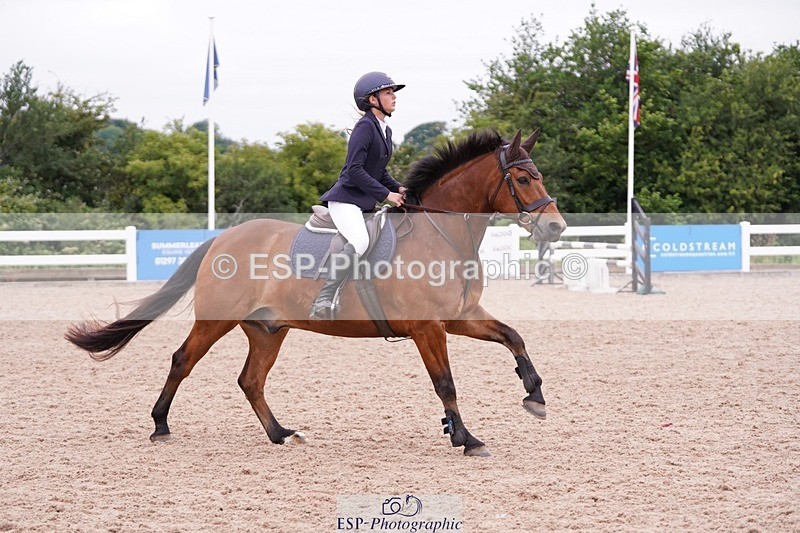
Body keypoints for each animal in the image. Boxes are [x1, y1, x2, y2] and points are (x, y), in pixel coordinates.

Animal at [65, 129, 566, 457]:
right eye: (524, 180)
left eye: (540, 174)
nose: (556, 228)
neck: (441, 234)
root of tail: (223, 238)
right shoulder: (428, 328)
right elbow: (445, 382)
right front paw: (465, 438)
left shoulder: (460, 317)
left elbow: (513, 336)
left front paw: (535, 397)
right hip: (216, 320)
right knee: (182, 361)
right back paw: (161, 425)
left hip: (268, 329)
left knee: (251, 380)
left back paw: (281, 434)